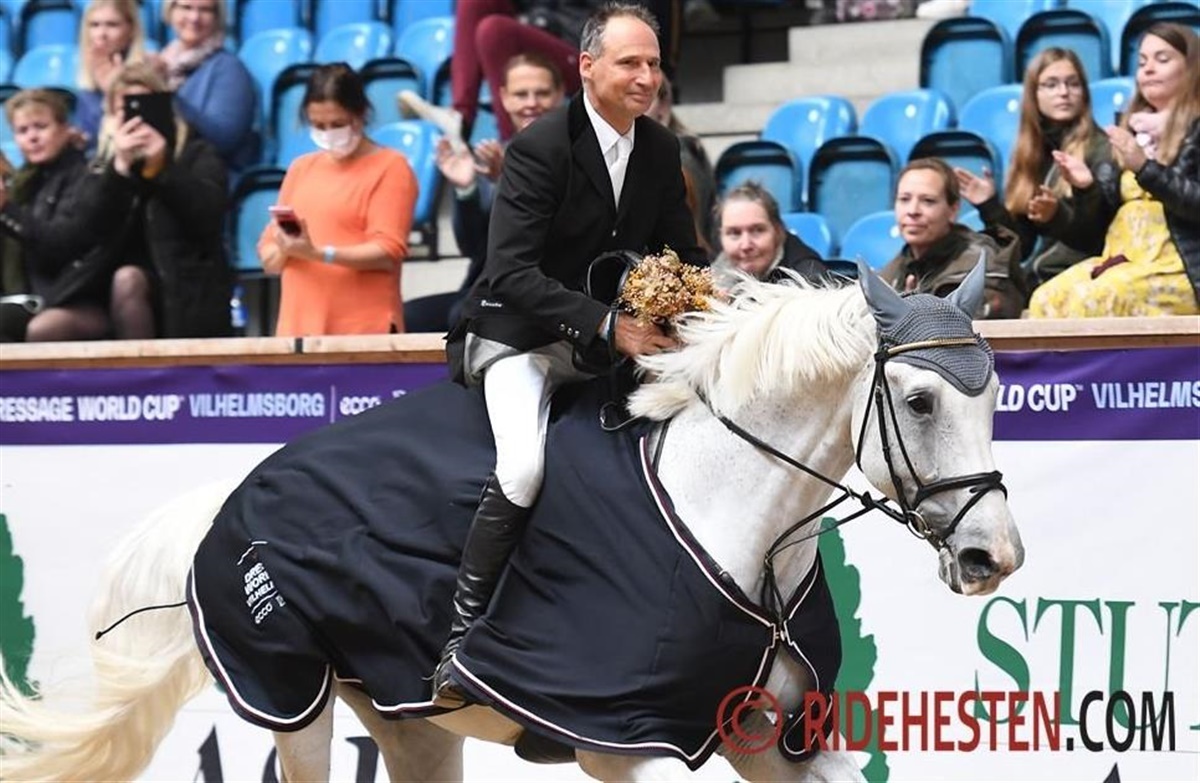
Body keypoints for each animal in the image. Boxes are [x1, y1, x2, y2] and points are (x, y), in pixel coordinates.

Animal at [0, 262, 1024, 782]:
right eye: (922, 401)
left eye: (994, 396)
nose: (994, 556)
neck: (740, 521)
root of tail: (228, 495)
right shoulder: (619, 740)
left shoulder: (770, 736)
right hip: (289, 695)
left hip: (407, 720)